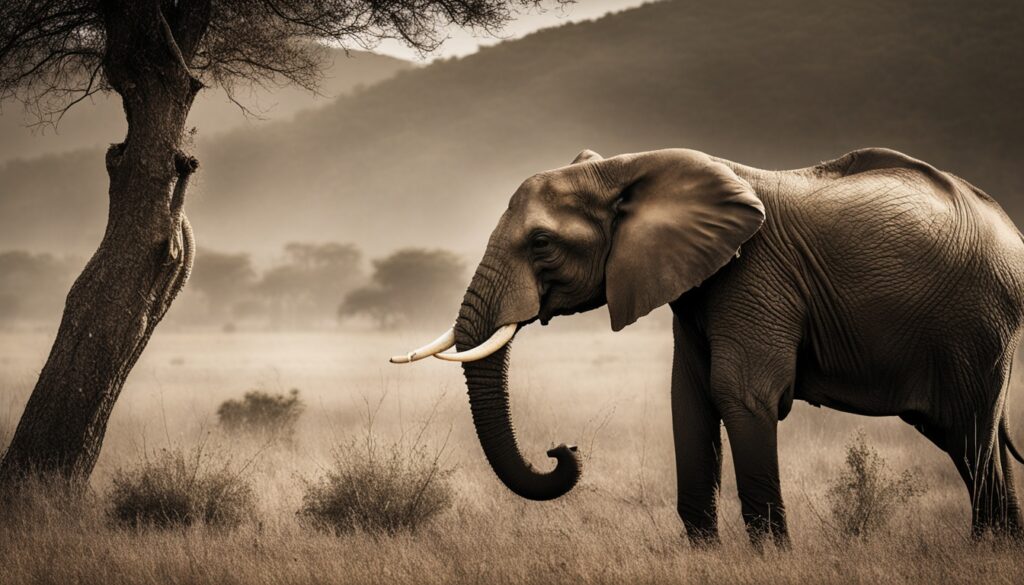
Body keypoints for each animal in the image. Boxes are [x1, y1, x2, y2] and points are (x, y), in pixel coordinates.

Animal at [391, 147, 1024, 548]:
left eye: (542, 243)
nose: (560, 449)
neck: (630, 167)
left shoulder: (754, 275)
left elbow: (738, 394)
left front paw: (771, 560)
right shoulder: (695, 285)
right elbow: (690, 400)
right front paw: (705, 556)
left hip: (977, 323)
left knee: (969, 437)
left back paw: (983, 549)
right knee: (976, 440)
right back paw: (1002, 547)